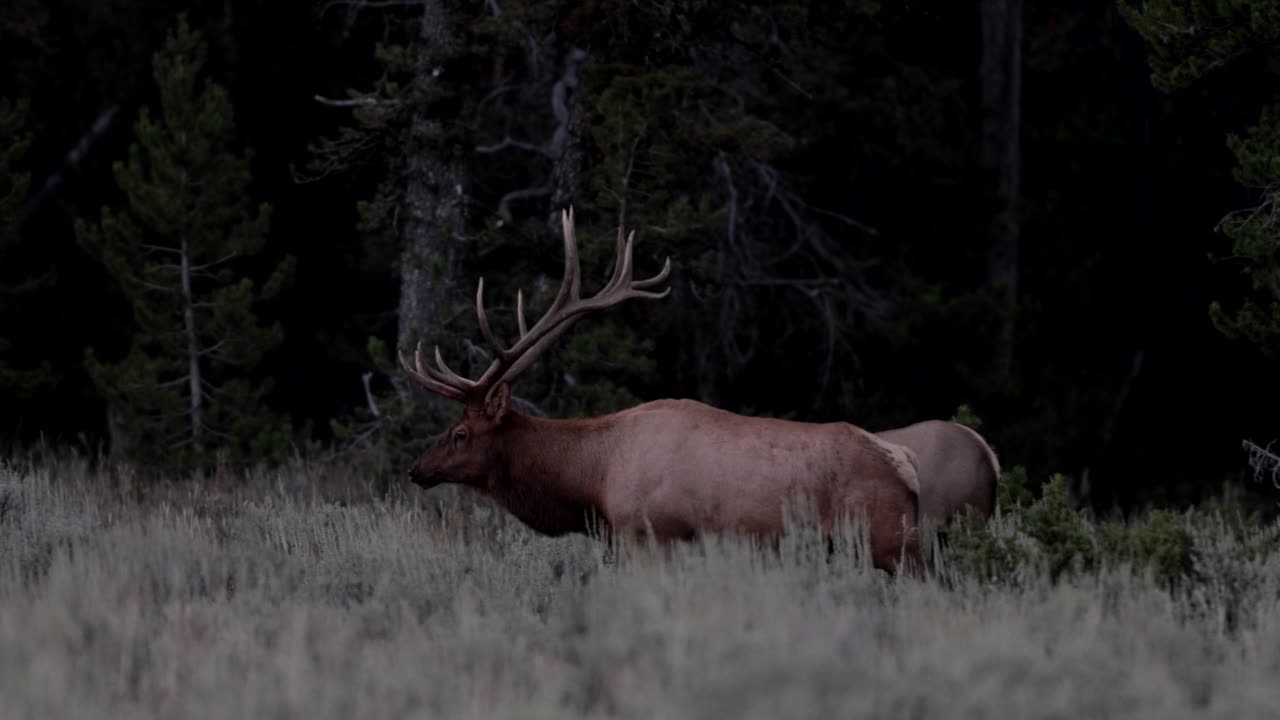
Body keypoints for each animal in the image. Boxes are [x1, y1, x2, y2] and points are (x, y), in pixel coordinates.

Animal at [396, 207, 921, 571]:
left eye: (461, 433)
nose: (416, 469)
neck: (593, 481)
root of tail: (907, 467)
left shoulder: (651, 536)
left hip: (893, 544)